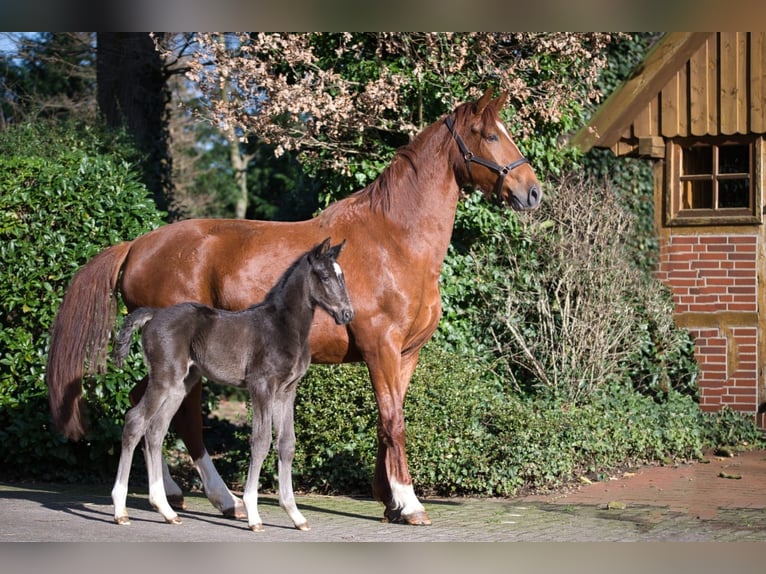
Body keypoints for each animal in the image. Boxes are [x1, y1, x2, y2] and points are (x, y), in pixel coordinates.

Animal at [48, 89, 544, 528]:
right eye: (491, 135)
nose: (533, 192)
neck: (394, 240)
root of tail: (138, 245)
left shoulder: (405, 355)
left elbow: (388, 420)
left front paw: (389, 502)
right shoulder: (381, 349)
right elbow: (394, 420)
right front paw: (410, 503)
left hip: (178, 367)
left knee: (149, 409)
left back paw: (179, 496)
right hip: (182, 367)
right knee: (177, 418)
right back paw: (218, 500)